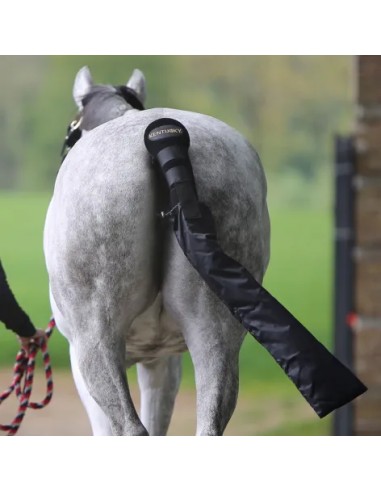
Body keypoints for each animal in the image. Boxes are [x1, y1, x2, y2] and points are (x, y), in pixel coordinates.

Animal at [43, 67, 270, 436]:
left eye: (70, 132)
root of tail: (166, 142)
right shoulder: (162, 359)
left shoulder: (84, 362)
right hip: (215, 333)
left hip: (95, 346)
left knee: (131, 428)